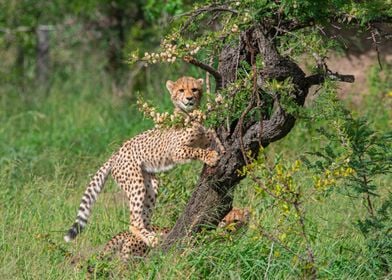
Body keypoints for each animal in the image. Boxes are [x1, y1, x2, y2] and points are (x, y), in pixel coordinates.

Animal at [64, 75, 224, 246]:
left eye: (194, 89)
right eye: (181, 90)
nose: (189, 98)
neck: (191, 115)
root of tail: (115, 154)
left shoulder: (203, 137)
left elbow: (211, 137)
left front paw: (221, 148)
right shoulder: (176, 151)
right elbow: (195, 150)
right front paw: (211, 156)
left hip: (151, 184)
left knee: (145, 215)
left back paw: (154, 234)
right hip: (135, 182)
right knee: (133, 222)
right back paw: (151, 239)